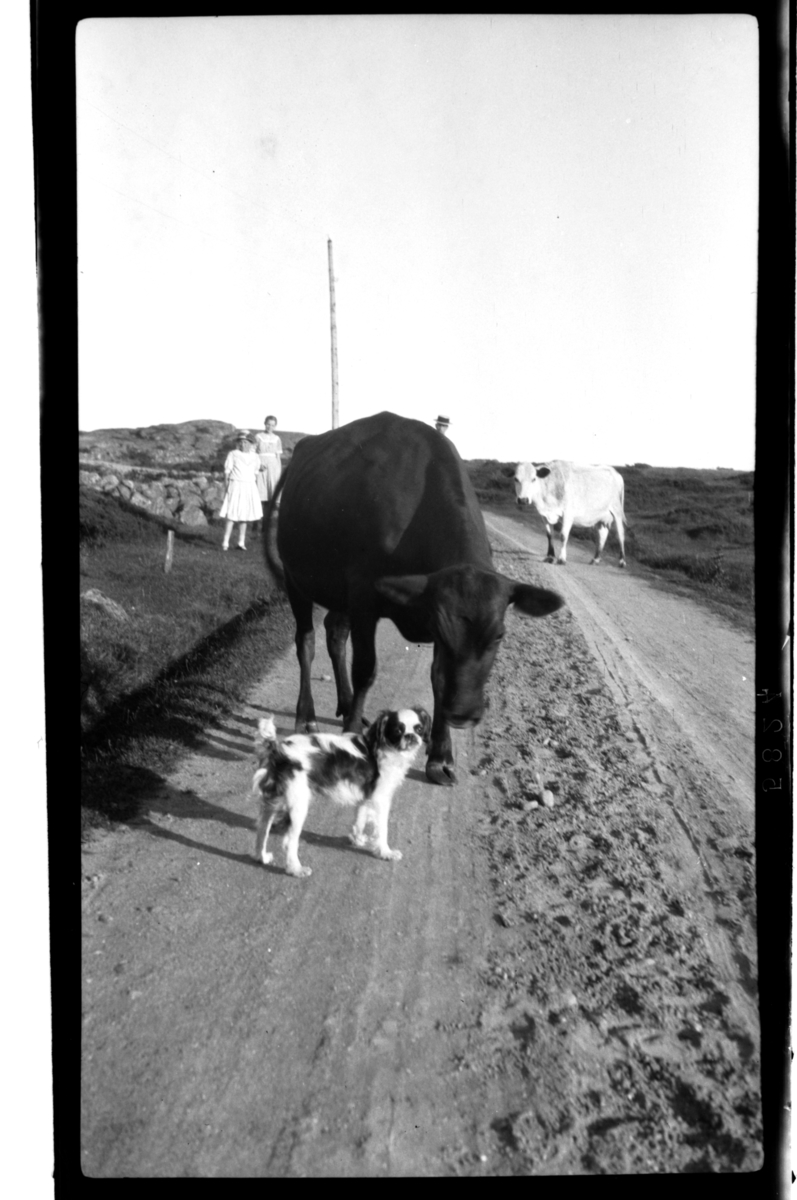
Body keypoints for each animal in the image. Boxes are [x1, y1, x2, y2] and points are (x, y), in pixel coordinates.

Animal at [253, 705, 429, 878]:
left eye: (419, 729)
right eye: (398, 730)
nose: (411, 736)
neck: (383, 748)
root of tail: (278, 751)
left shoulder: (367, 798)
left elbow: (360, 819)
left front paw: (357, 839)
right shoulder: (380, 800)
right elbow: (382, 830)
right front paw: (385, 852)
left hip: (273, 803)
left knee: (262, 829)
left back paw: (262, 857)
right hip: (298, 806)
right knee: (289, 841)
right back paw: (296, 869)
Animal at [264, 415, 564, 787]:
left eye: (498, 636)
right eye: (445, 632)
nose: (463, 713)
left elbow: (439, 679)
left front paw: (441, 756)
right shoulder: (365, 598)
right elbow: (365, 670)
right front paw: (352, 738)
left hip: (338, 594)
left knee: (334, 634)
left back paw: (347, 705)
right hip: (297, 580)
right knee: (306, 643)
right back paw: (307, 716)